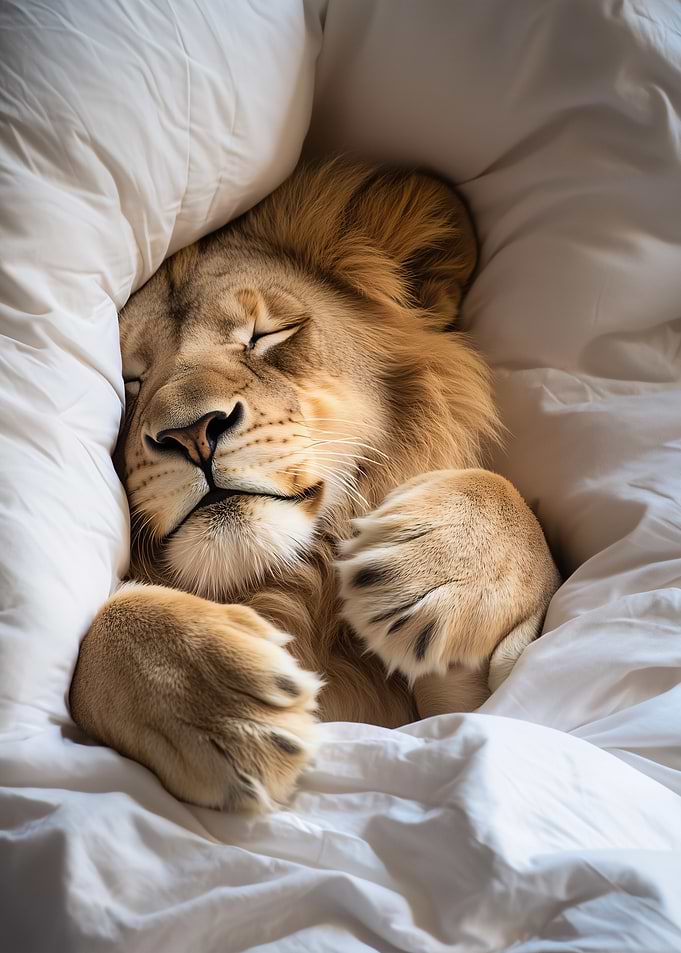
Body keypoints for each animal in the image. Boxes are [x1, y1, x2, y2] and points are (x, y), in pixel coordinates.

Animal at [70, 159, 560, 811]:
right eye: (130, 380)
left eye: (267, 334)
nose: (191, 433)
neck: (291, 593)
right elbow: (95, 635)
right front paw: (223, 705)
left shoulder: (466, 712)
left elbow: (503, 495)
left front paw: (431, 571)